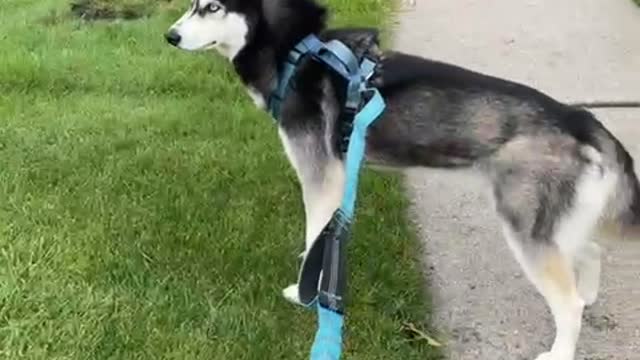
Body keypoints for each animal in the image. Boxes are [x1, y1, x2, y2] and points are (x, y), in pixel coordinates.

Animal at [166, 1, 640, 358]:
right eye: (191, 3)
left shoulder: (320, 177)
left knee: (568, 301)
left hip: (525, 227)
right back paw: (590, 292)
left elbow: (314, 237)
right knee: (589, 251)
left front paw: (305, 294)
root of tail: (579, 117)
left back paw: (562, 345)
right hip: (552, 221)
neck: (296, 49)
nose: (169, 36)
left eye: (211, 6)